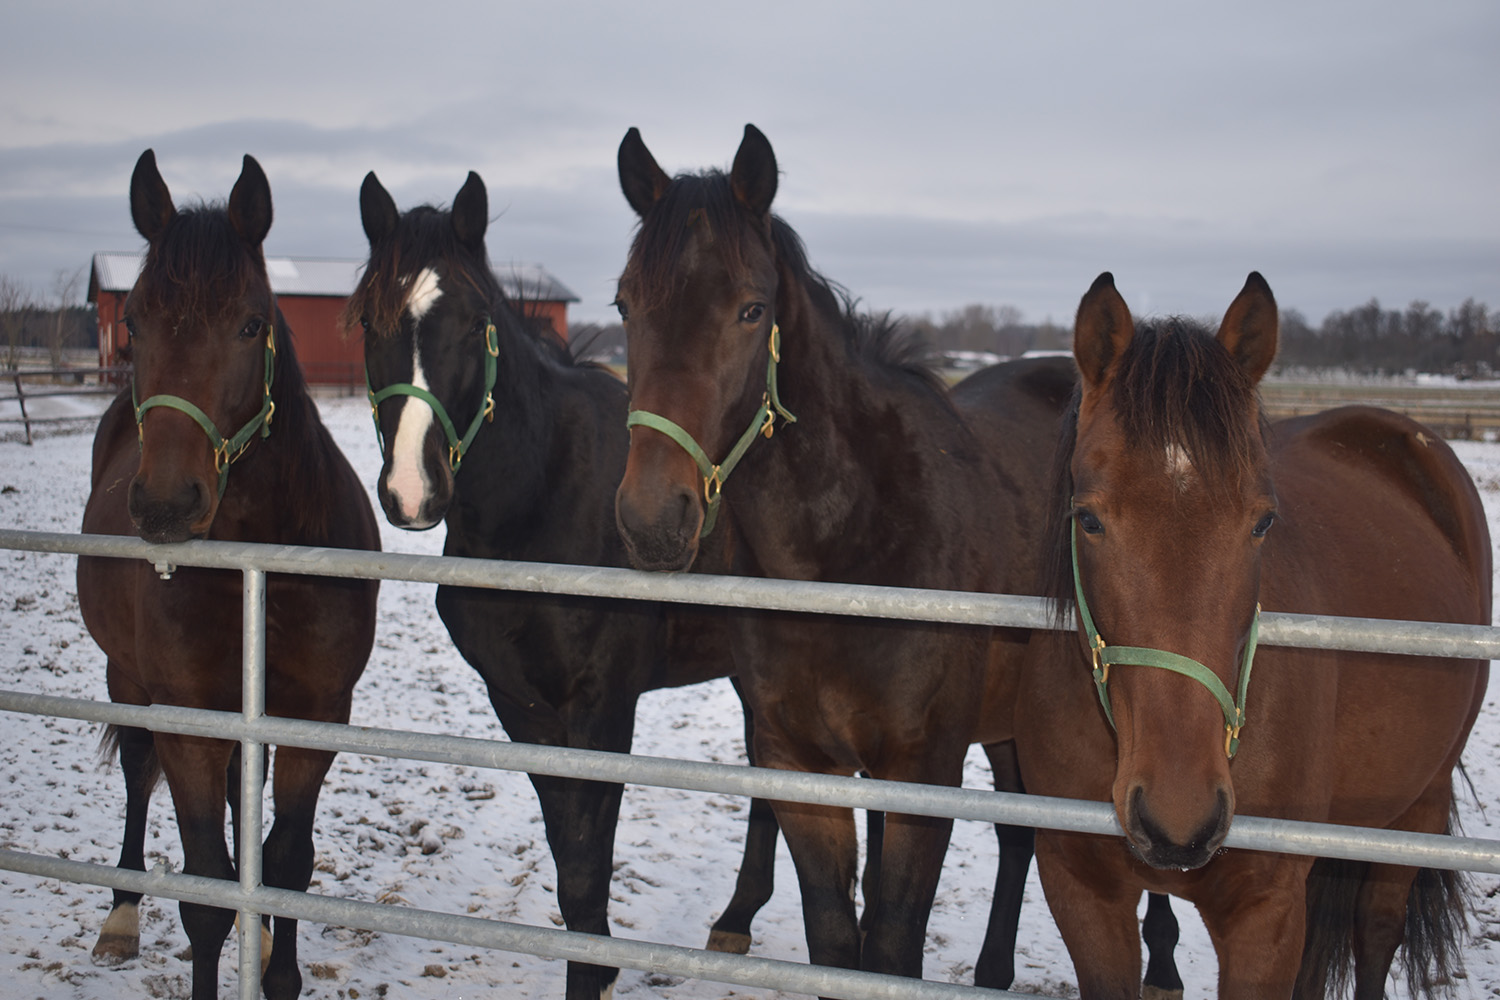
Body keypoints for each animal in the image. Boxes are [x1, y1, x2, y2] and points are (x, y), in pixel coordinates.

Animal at [76, 150, 384, 1000]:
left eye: (250, 323)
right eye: (134, 321)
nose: (165, 503)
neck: (264, 563)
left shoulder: (315, 715)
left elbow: (287, 864)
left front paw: (277, 966)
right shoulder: (189, 724)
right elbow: (208, 892)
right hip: (130, 679)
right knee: (137, 768)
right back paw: (120, 918)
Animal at [346, 172, 780, 1000]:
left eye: (474, 319)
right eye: (366, 317)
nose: (413, 490)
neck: (541, 502)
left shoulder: (602, 708)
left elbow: (586, 867)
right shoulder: (522, 706)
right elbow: (568, 857)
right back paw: (739, 918)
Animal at [609, 122, 1092, 983]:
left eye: (751, 308)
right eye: (625, 303)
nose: (653, 518)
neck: (847, 558)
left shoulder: (924, 772)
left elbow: (893, 946)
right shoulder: (801, 767)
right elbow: (837, 939)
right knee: (1019, 834)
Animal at [1014, 269, 1494, 995]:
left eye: (1262, 521)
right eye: (1088, 517)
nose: (1179, 816)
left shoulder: (1265, 915)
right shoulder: (1080, 889)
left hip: (1419, 808)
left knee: (1377, 930)